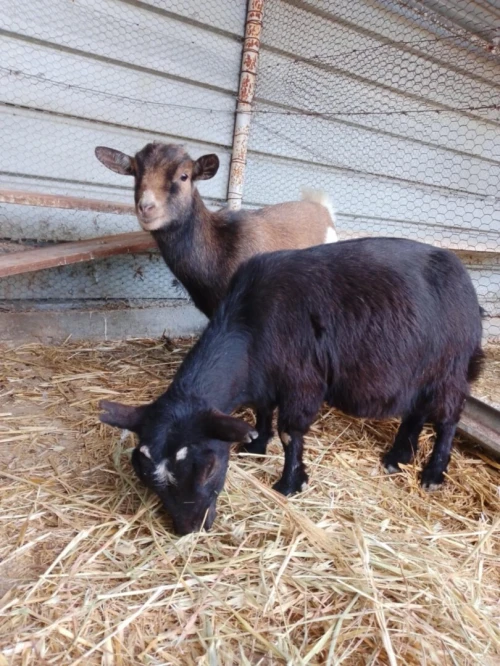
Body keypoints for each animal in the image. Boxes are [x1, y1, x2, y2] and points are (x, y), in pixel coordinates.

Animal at [99, 237, 483, 535]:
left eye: (208, 468)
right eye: (145, 476)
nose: (189, 529)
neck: (250, 324)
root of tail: (463, 277)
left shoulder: (302, 382)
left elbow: (290, 434)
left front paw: (289, 483)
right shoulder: (266, 380)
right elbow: (262, 411)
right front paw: (256, 444)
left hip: (450, 367)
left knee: (447, 418)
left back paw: (432, 474)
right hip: (420, 369)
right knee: (416, 410)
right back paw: (397, 457)